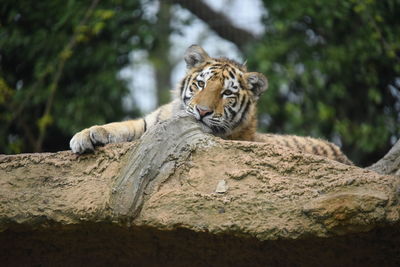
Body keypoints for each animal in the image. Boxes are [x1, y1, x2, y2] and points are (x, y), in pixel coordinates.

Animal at [70, 44, 352, 165]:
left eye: (227, 93)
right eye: (201, 84)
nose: (202, 112)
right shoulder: (150, 123)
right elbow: (122, 126)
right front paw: (86, 136)